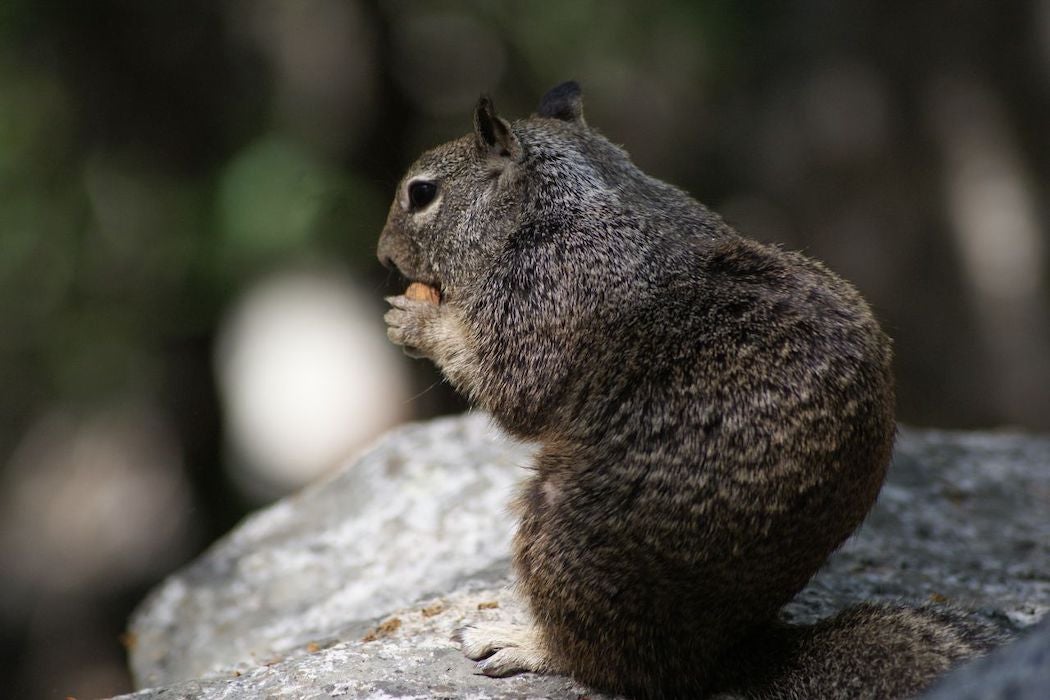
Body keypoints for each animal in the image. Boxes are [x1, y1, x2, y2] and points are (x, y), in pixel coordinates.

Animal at [375, 83, 999, 700]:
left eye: (422, 193)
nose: (382, 255)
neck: (562, 198)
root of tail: (731, 654)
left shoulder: (544, 291)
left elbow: (511, 386)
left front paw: (418, 323)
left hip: (562, 532)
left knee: (610, 665)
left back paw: (525, 642)